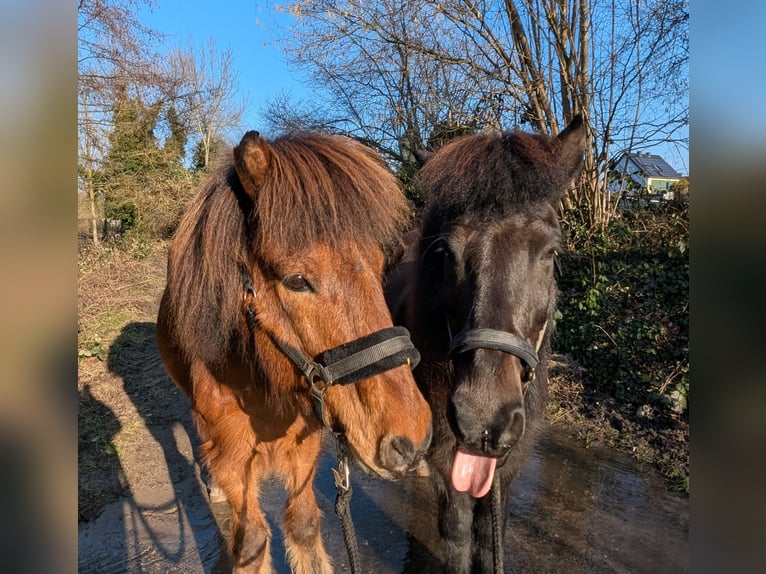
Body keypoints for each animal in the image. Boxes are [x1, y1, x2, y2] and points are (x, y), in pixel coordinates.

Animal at [158, 132, 432, 574]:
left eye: (383, 266)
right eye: (297, 280)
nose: (412, 438)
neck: (261, 379)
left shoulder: (305, 445)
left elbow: (303, 525)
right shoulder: (234, 459)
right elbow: (252, 541)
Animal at [390, 117, 588, 574]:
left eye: (550, 252)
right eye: (446, 253)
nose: (485, 420)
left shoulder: (506, 469)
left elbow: (488, 536)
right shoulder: (452, 460)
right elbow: (459, 535)